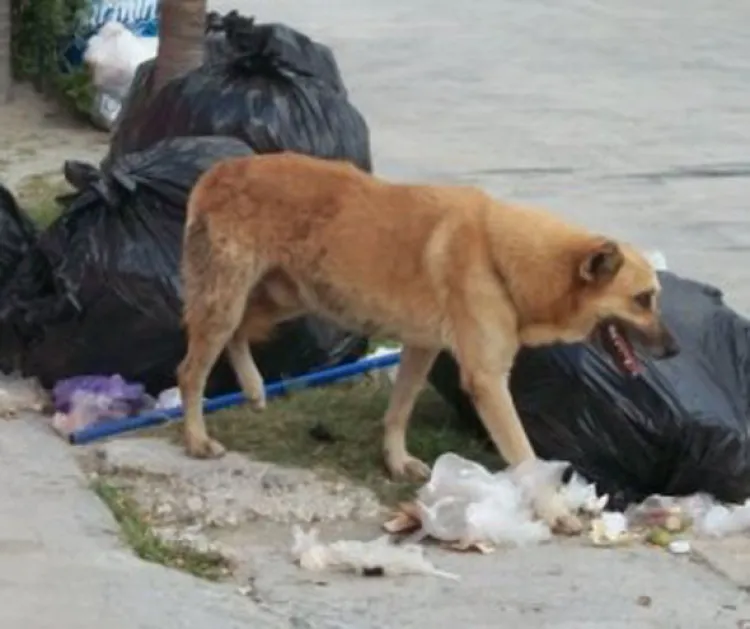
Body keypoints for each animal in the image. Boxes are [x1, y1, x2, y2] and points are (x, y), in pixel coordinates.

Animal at [178, 150, 680, 532]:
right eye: (643, 299)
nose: (674, 351)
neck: (506, 259)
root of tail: (222, 169)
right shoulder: (487, 381)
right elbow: (525, 455)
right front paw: (553, 510)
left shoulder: (421, 347)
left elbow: (399, 409)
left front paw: (396, 461)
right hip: (231, 300)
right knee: (191, 370)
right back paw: (197, 438)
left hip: (287, 298)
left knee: (240, 332)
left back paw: (253, 387)